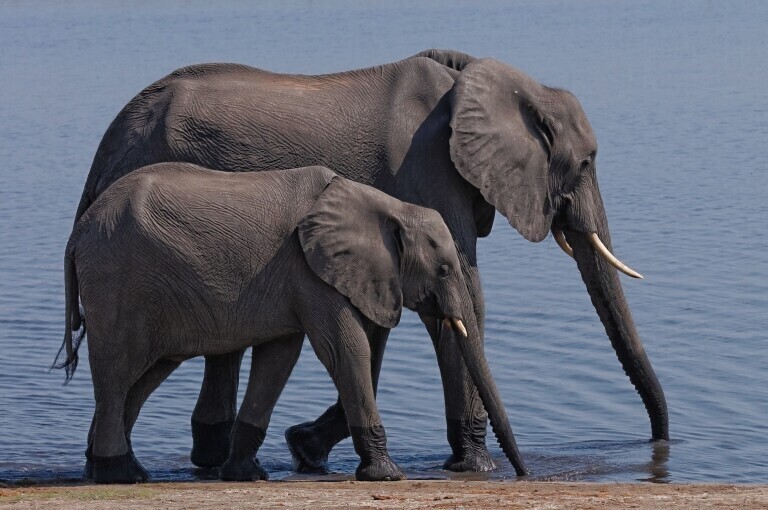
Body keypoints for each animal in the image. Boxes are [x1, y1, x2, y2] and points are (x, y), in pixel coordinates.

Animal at [55, 163, 528, 482]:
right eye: (444, 270)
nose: (520, 472)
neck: (384, 205)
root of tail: (77, 233)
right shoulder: (309, 270)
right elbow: (345, 347)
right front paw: (388, 474)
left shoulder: (293, 278)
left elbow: (279, 357)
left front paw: (246, 474)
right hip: (117, 284)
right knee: (117, 374)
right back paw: (122, 475)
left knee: (142, 378)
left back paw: (104, 469)